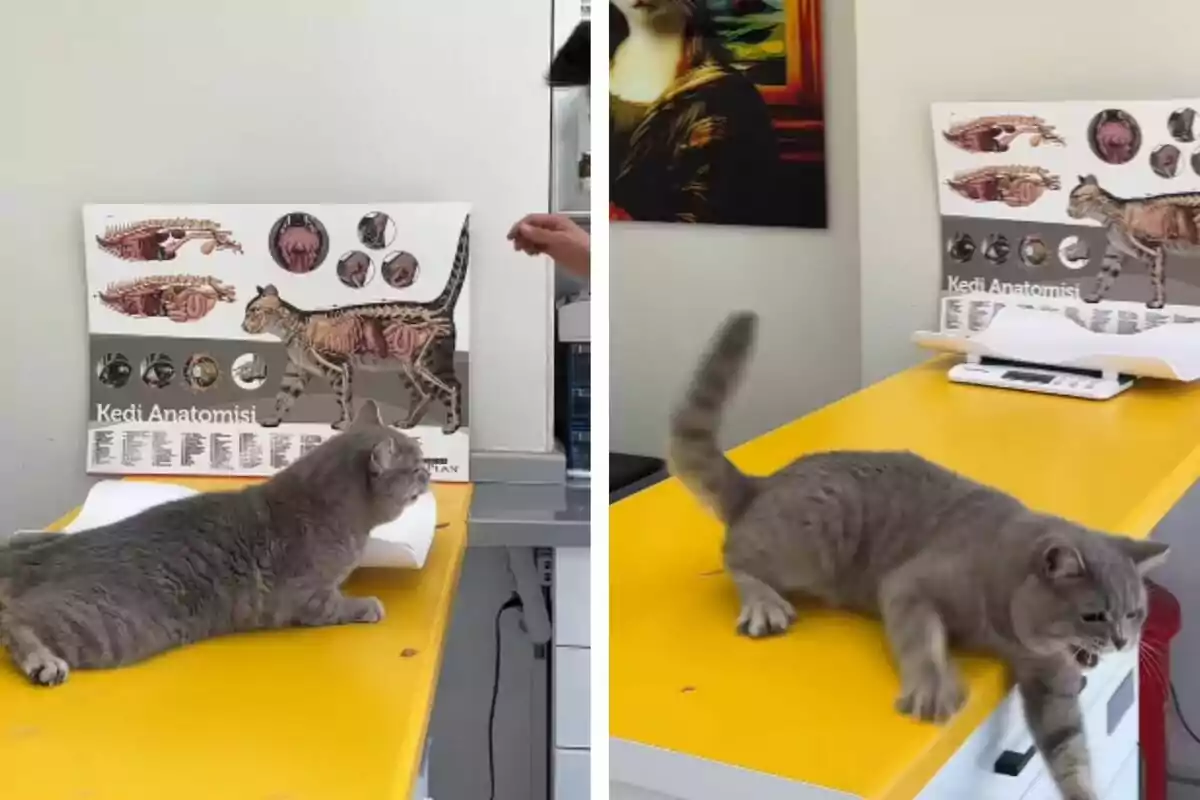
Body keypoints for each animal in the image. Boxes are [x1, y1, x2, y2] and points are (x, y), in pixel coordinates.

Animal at [0, 400, 429, 690]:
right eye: (416, 466)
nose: (429, 473)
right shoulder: (310, 598)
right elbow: (339, 606)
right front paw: (367, 604)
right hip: (104, 626)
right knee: (16, 620)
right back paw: (43, 662)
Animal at [676, 311, 1171, 800]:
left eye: (1135, 613)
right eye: (1093, 616)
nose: (1122, 642)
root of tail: (763, 483)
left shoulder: (1052, 677)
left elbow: (1070, 751)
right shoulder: (909, 585)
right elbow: (923, 640)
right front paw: (934, 688)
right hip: (814, 536)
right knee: (737, 557)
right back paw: (764, 603)